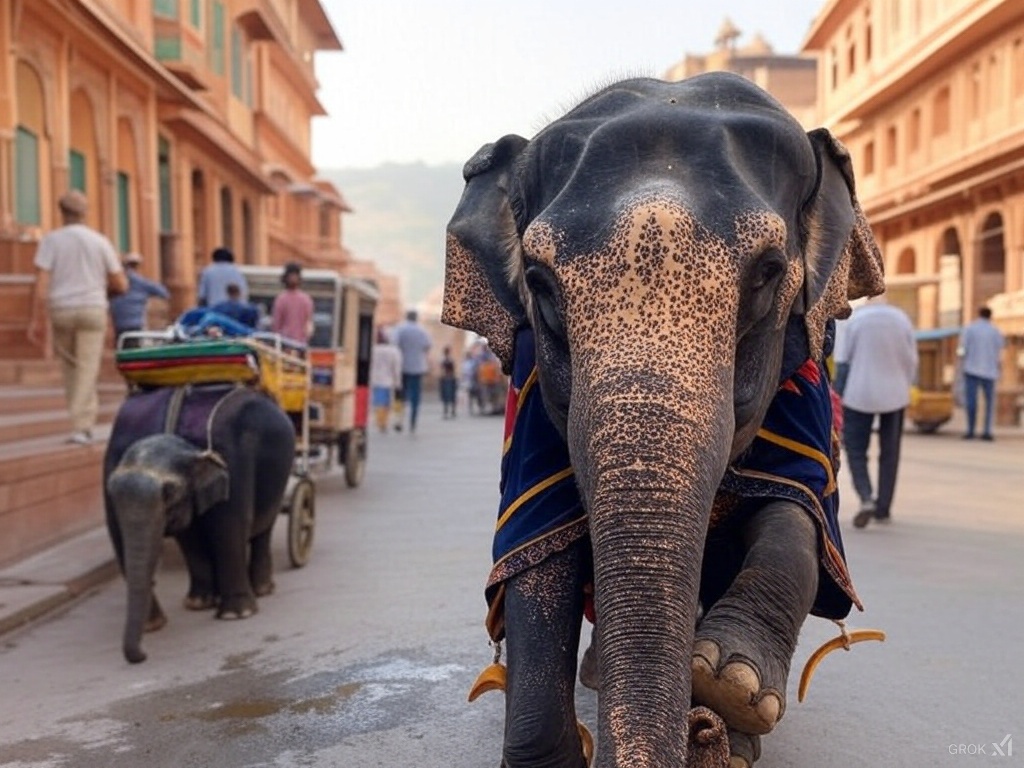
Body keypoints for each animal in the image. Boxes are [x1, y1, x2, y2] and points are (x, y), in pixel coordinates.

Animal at [103, 383, 296, 663]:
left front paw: (236, 615)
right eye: (110, 489)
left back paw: (262, 589)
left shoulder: (231, 460)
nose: (142, 656)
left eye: (169, 492)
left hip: (280, 477)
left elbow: (228, 529)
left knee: (263, 530)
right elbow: (188, 538)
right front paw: (193, 607)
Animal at [442, 72, 885, 768]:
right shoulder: (530, 395)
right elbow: (536, 541)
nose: (698, 730)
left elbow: (802, 508)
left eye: (768, 273)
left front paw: (732, 684)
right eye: (538, 283)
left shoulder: (807, 386)